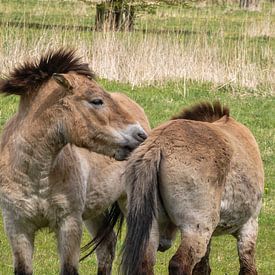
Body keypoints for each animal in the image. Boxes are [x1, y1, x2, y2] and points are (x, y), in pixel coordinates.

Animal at [0, 49, 148, 275]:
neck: (37, 173)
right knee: (107, 246)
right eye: (96, 101)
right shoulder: (17, 226)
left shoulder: (69, 224)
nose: (140, 135)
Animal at [122, 102, 264, 275]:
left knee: (145, 262)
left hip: (152, 228)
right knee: (179, 264)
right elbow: (247, 267)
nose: (163, 244)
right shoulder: (249, 225)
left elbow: (203, 268)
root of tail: (158, 144)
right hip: (196, 228)